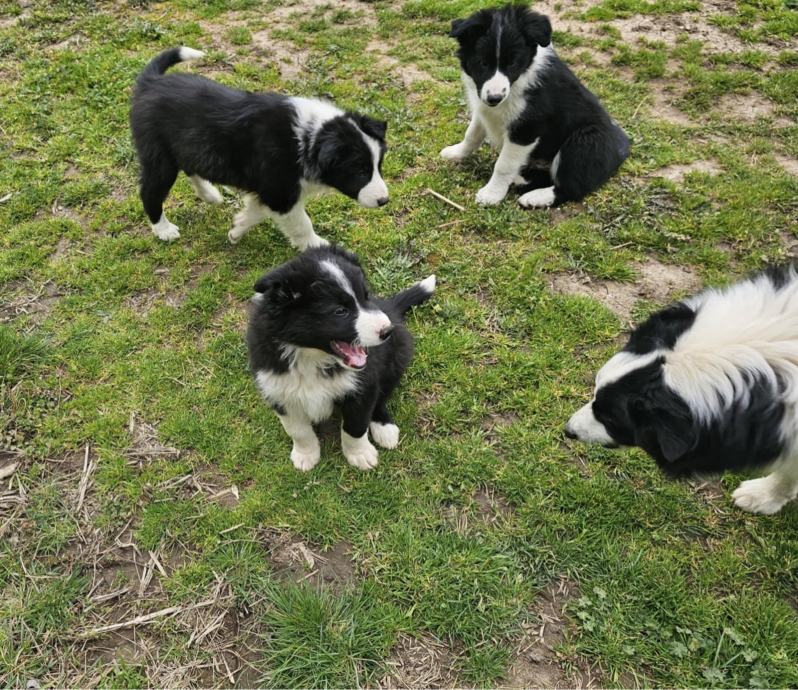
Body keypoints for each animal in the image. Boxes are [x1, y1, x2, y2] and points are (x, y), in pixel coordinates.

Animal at [130, 47, 389, 248]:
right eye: (360, 171)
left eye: (378, 166)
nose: (384, 200)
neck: (308, 138)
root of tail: (151, 82)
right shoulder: (281, 194)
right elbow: (302, 223)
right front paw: (316, 244)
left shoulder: (271, 191)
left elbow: (256, 211)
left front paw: (237, 229)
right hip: (159, 156)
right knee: (150, 192)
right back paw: (164, 230)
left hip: (189, 145)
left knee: (191, 167)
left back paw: (210, 195)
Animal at [247, 245, 435, 471]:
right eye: (340, 311)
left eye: (366, 296)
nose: (387, 330)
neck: (311, 357)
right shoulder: (279, 391)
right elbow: (298, 430)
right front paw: (306, 455)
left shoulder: (364, 385)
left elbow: (356, 426)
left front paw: (360, 454)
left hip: (396, 359)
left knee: (382, 396)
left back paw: (384, 428)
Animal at [440, 4, 629, 209]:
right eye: (482, 62)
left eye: (513, 63)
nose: (495, 98)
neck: (519, 79)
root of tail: (622, 149)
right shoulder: (483, 108)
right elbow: (472, 135)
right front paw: (456, 153)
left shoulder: (526, 129)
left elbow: (503, 165)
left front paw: (492, 194)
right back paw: (520, 179)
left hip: (585, 141)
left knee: (571, 188)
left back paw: (535, 198)